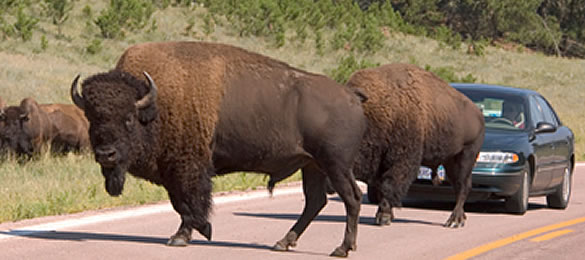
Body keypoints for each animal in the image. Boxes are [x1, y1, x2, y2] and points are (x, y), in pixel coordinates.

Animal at [70, 41, 368, 256]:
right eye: (92, 118)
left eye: (128, 119)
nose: (106, 155)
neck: (155, 104)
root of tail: (351, 97)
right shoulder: (175, 170)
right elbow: (181, 202)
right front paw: (195, 231)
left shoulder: (187, 168)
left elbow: (188, 202)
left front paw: (186, 235)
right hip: (313, 166)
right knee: (315, 201)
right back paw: (283, 242)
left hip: (335, 165)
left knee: (351, 198)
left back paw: (342, 248)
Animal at [344, 63, 486, 228]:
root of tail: (479, 115)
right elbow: (381, 186)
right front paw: (387, 215)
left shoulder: (400, 160)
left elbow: (389, 184)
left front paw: (383, 217)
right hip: (450, 162)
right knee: (458, 187)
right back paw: (460, 219)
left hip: (466, 157)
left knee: (463, 187)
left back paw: (454, 221)